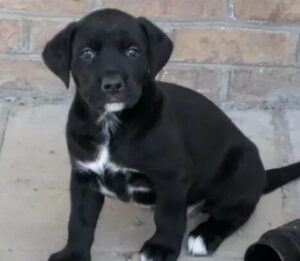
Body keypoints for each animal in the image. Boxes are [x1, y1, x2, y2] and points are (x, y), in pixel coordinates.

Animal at [42, 8, 300, 260]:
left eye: (133, 52)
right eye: (86, 54)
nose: (113, 84)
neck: (110, 123)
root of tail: (262, 176)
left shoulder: (172, 176)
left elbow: (168, 216)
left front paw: (162, 248)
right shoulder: (83, 176)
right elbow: (79, 221)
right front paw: (73, 254)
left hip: (240, 168)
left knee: (236, 213)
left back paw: (204, 235)